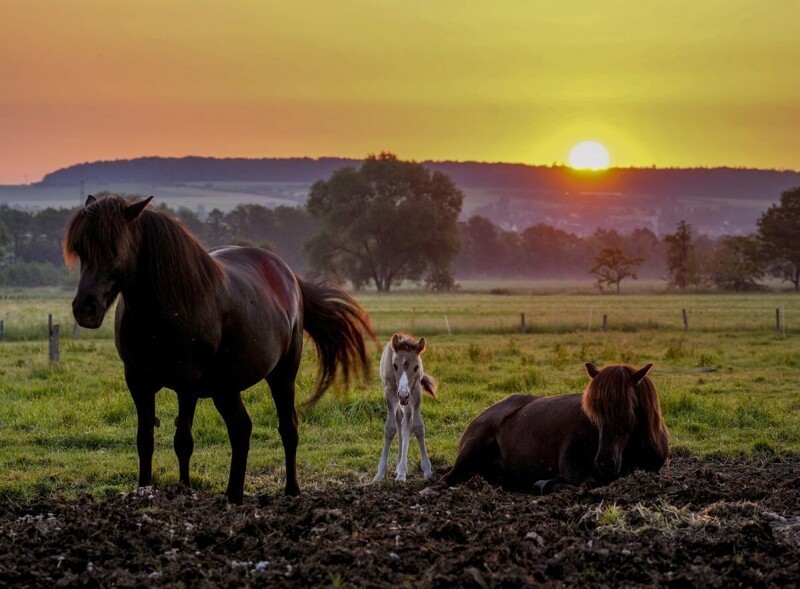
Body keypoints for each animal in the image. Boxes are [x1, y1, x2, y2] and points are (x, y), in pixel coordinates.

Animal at [64, 195, 374, 504]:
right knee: (241, 429)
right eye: (81, 251)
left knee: (288, 427)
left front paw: (185, 490)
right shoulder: (138, 382)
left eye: (113, 249)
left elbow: (183, 440)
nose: (84, 309)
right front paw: (144, 490)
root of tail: (288, 275)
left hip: (282, 374)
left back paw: (291, 490)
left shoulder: (187, 383)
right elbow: (145, 440)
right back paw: (233, 494)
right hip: (225, 388)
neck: (163, 308)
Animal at [374, 334, 438, 480]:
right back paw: (399, 469)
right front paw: (380, 472)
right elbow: (390, 429)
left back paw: (402, 470)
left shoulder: (416, 391)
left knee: (406, 423)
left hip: (409, 399)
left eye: (416, 367)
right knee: (400, 421)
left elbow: (418, 427)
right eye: (395, 365)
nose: (403, 394)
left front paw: (427, 470)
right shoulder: (390, 391)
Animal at [424, 360, 668, 494]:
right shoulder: (574, 468)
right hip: (473, 446)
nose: (604, 463)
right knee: (448, 478)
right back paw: (432, 489)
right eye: (594, 413)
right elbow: (585, 484)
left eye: (627, 408)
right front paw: (545, 484)